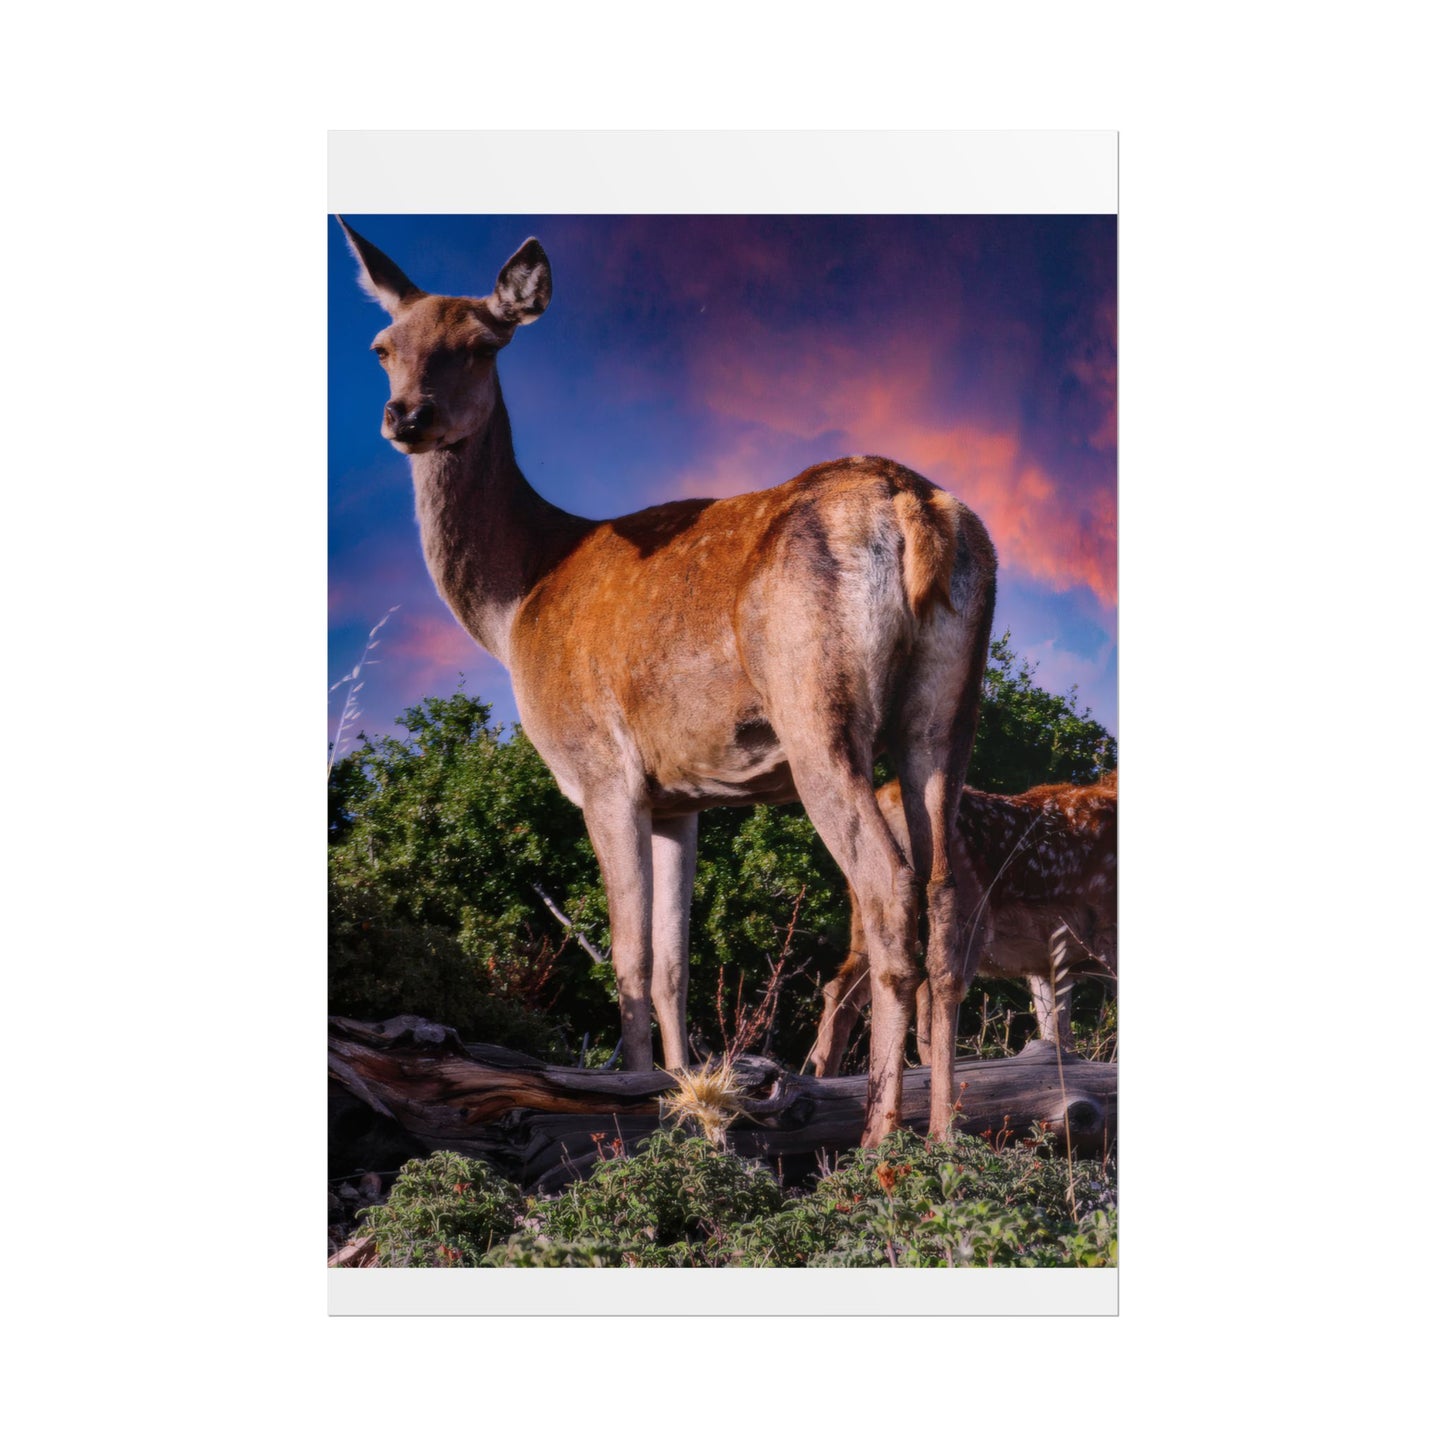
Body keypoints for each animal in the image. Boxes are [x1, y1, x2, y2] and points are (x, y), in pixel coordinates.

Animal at [336, 219, 998, 1145]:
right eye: (384, 345)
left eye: (479, 343)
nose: (407, 416)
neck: (516, 601)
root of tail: (913, 508)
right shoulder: (681, 794)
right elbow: (674, 962)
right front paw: (687, 1098)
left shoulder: (600, 768)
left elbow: (628, 955)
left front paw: (632, 1104)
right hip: (947, 710)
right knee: (945, 898)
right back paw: (941, 1134)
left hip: (817, 706)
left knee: (886, 887)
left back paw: (876, 1140)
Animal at [807, 774, 1117, 1076]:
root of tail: (890, 796)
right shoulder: (1107, 938)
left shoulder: (1049, 964)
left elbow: (1057, 1040)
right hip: (963, 918)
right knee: (932, 995)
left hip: (870, 915)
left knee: (842, 988)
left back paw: (825, 1075)